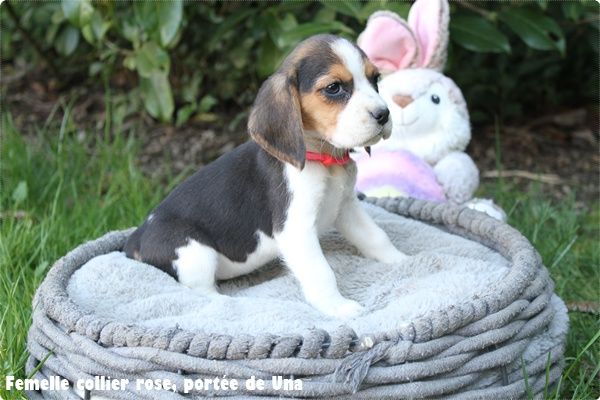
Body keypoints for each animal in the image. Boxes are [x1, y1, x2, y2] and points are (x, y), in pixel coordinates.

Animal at [124, 34, 407, 318]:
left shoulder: (346, 207)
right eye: (334, 88)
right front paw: (338, 307)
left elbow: (377, 237)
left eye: (375, 79)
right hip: (193, 252)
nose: (384, 114)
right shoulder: (296, 230)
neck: (323, 158)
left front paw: (402, 261)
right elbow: (321, 272)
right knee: (203, 293)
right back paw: (234, 303)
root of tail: (137, 237)